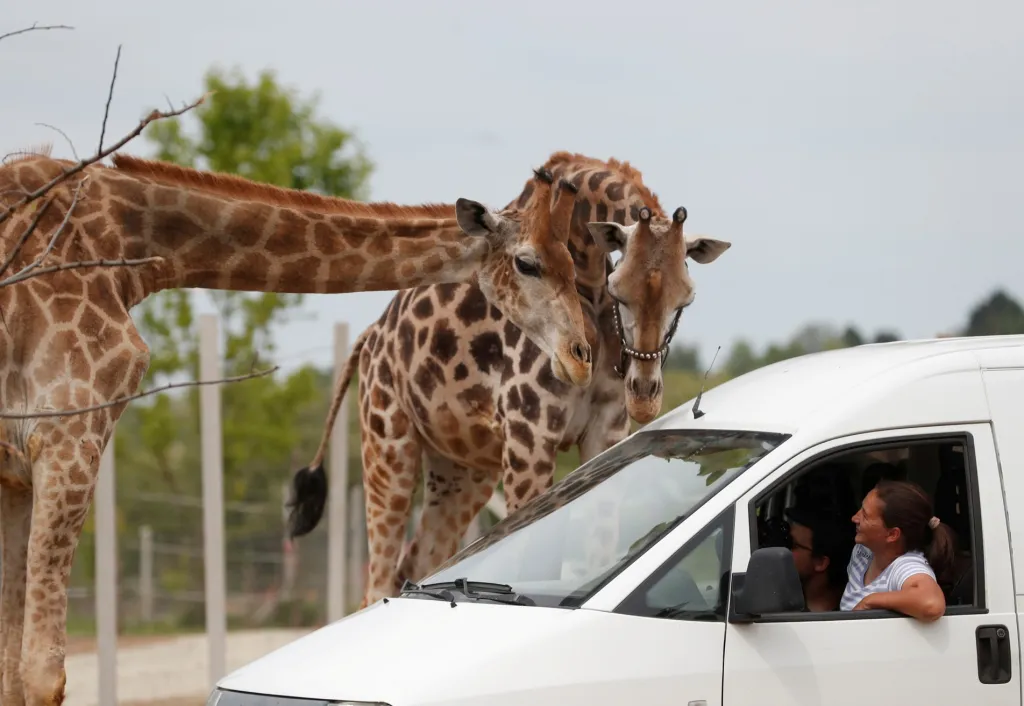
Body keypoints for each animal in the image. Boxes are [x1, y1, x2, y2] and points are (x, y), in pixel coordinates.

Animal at [0, 149, 593, 704]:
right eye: (528, 263)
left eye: (570, 261)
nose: (581, 355)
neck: (127, 240)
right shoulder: (68, 435)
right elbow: (43, 674)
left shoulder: (16, 474)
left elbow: (12, 670)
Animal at [288, 149, 733, 606]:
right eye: (619, 291)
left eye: (685, 299)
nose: (644, 396)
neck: (588, 284)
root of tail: (370, 337)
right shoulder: (529, 435)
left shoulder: (606, 432)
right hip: (388, 445)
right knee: (379, 578)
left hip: (462, 469)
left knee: (415, 563)